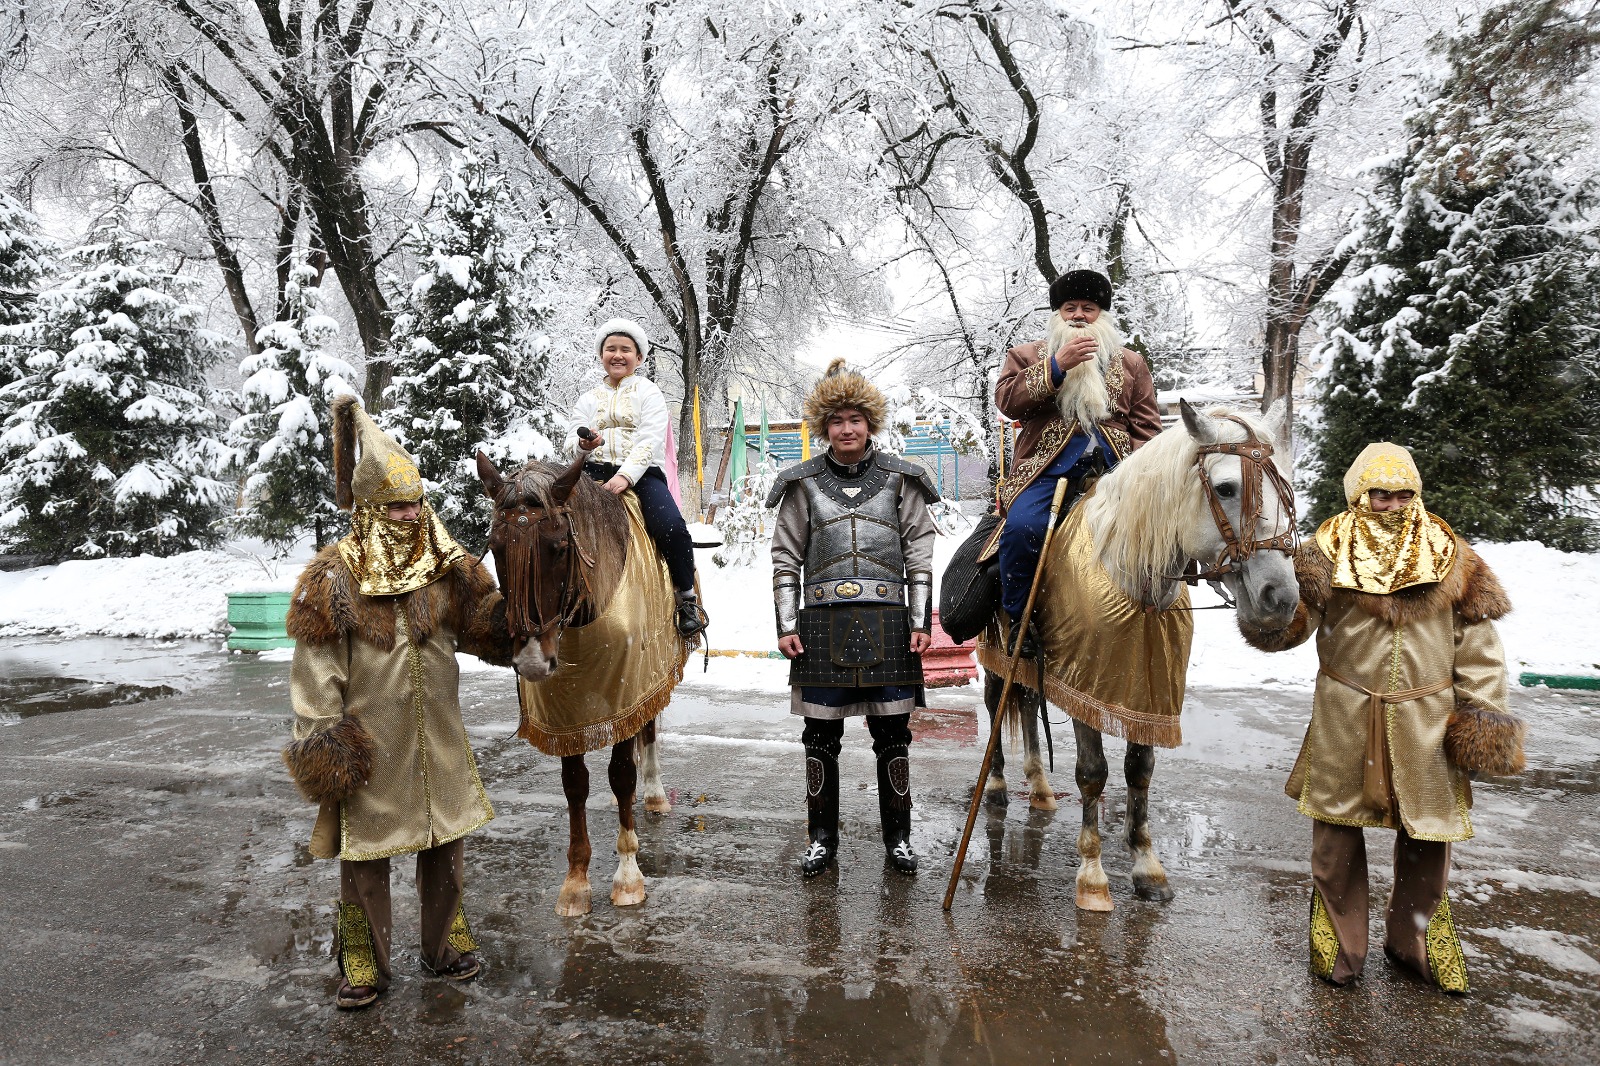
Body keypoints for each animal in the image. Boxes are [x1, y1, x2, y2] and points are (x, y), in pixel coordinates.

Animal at [473, 448, 675, 915]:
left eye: (559, 547)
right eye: (495, 548)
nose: (531, 661)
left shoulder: (628, 687)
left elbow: (621, 774)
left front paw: (627, 875)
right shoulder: (564, 710)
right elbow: (574, 786)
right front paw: (576, 881)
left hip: (653, 672)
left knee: (649, 730)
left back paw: (654, 792)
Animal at [972, 398, 1299, 902]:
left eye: (1288, 486)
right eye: (1225, 487)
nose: (1280, 598)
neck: (1134, 575)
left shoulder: (1148, 692)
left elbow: (1140, 769)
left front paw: (1147, 865)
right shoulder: (1087, 685)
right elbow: (1093, 772)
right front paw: (1092, 876)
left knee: (1026, 704)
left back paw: (1041, 788)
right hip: (998, 654)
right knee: (996, 705)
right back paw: (997, 785)